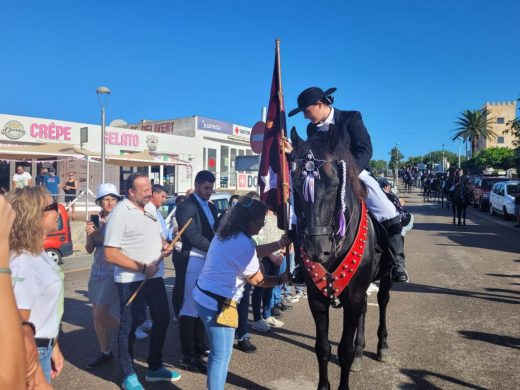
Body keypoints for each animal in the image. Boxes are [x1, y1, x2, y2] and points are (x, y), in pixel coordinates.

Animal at [290, 128, 392, 390]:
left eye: (335, 184)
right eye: (296, 183)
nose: (317, 251)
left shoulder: (353, 296)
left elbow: (343, 350)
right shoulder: (316, 299)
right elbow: (322, 348)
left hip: (386, 278)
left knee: (383, 302)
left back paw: (382, 347)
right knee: (366, 308)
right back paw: (360, 353)